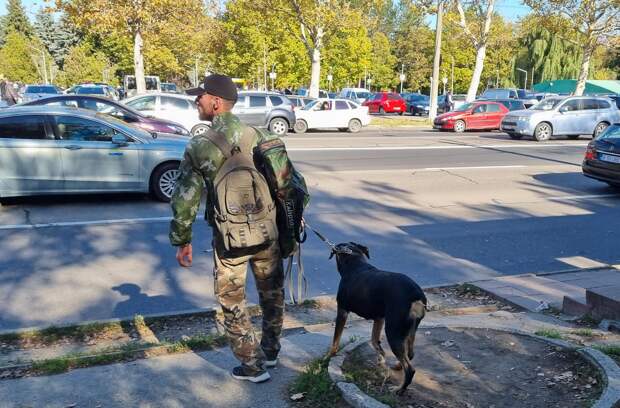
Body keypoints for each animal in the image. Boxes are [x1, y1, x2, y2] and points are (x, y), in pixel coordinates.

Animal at [330, 242, 426, 396]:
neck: (355, 263)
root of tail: (416, 297)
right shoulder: (379, 318)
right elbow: (374, 340)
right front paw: (381, 358)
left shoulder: (342, 311)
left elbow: (335, 340)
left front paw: (329, 356)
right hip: (409, 330)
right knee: (409, 354)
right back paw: (398, 366)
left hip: (393, 331)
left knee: (410, 369)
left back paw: (400, 389)